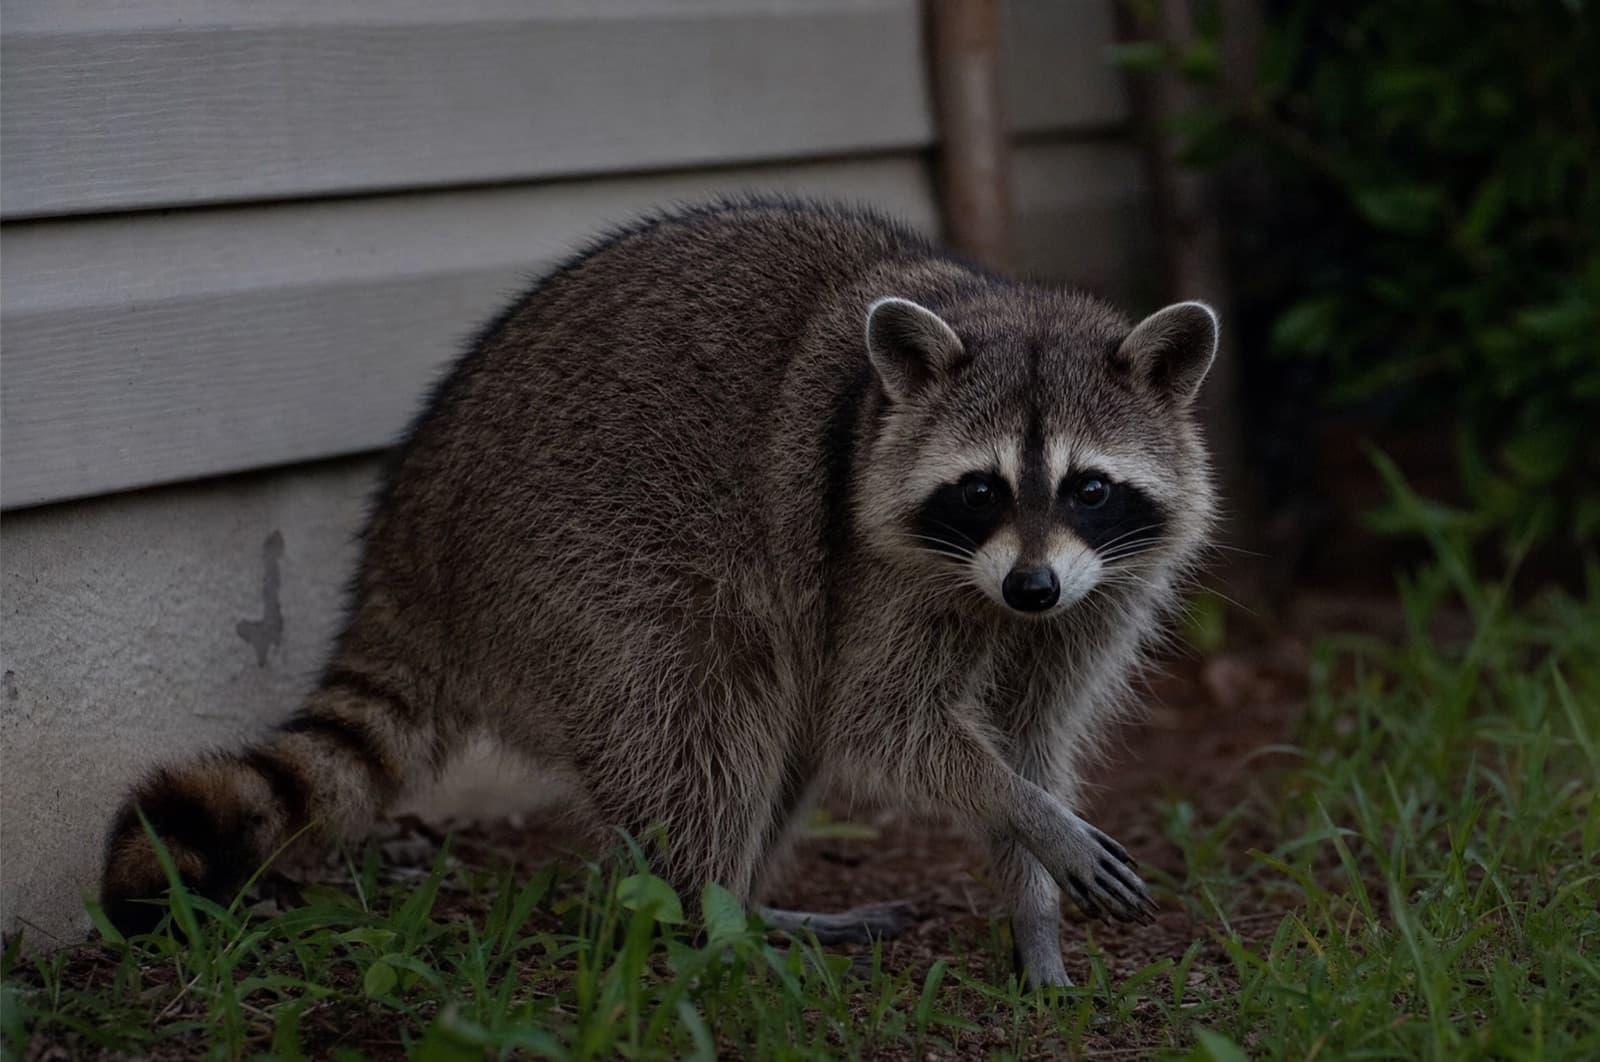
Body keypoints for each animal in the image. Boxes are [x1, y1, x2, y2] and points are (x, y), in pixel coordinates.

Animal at [99, 199, 1218, 988]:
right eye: (981, 489)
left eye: (1087, 487)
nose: (1030, 586)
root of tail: (406, 546)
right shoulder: (877, 565)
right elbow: (886, 726)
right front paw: (1023, 814)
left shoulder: (1092, 595)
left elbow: (1027, 732)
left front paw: (1032, 893)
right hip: (579, 567)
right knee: (697, 717)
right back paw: (705, 921)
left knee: (771, 738)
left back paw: (741, 902)